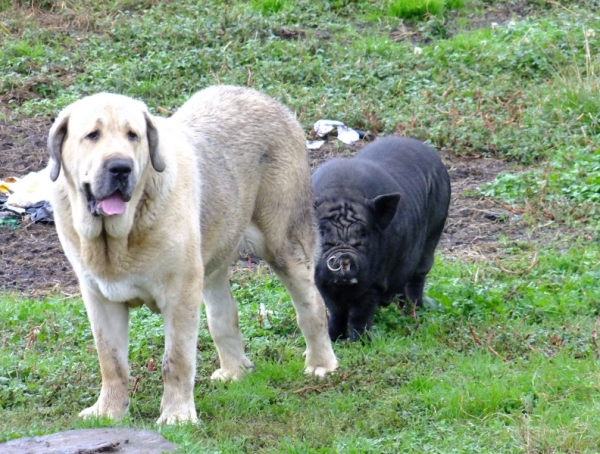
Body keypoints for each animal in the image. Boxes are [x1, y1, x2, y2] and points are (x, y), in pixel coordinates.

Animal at [47, 86, 338, 426]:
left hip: (284, 244)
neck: (118, 238)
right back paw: (234, 372)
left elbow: (176, 359)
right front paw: (109, 412)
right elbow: (111, 361)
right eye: (92, 135)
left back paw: (322, 364)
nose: (120, 167)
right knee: (224, 316)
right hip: (214, 260)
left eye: (133, 135)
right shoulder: (99, 298)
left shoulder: (180, 291)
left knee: (310, 304)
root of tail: (273, 103)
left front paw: (177, 416)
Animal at [314, 135, 450, 340]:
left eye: (363, 233)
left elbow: (359, 315)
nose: (344, 257)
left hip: (435, 231)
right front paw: (333, 339)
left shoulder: (375, 283)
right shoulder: (321, 281)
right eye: (322, 232)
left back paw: (414, 314)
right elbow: (336, 312)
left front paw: (359, 343)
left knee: (417, 278)